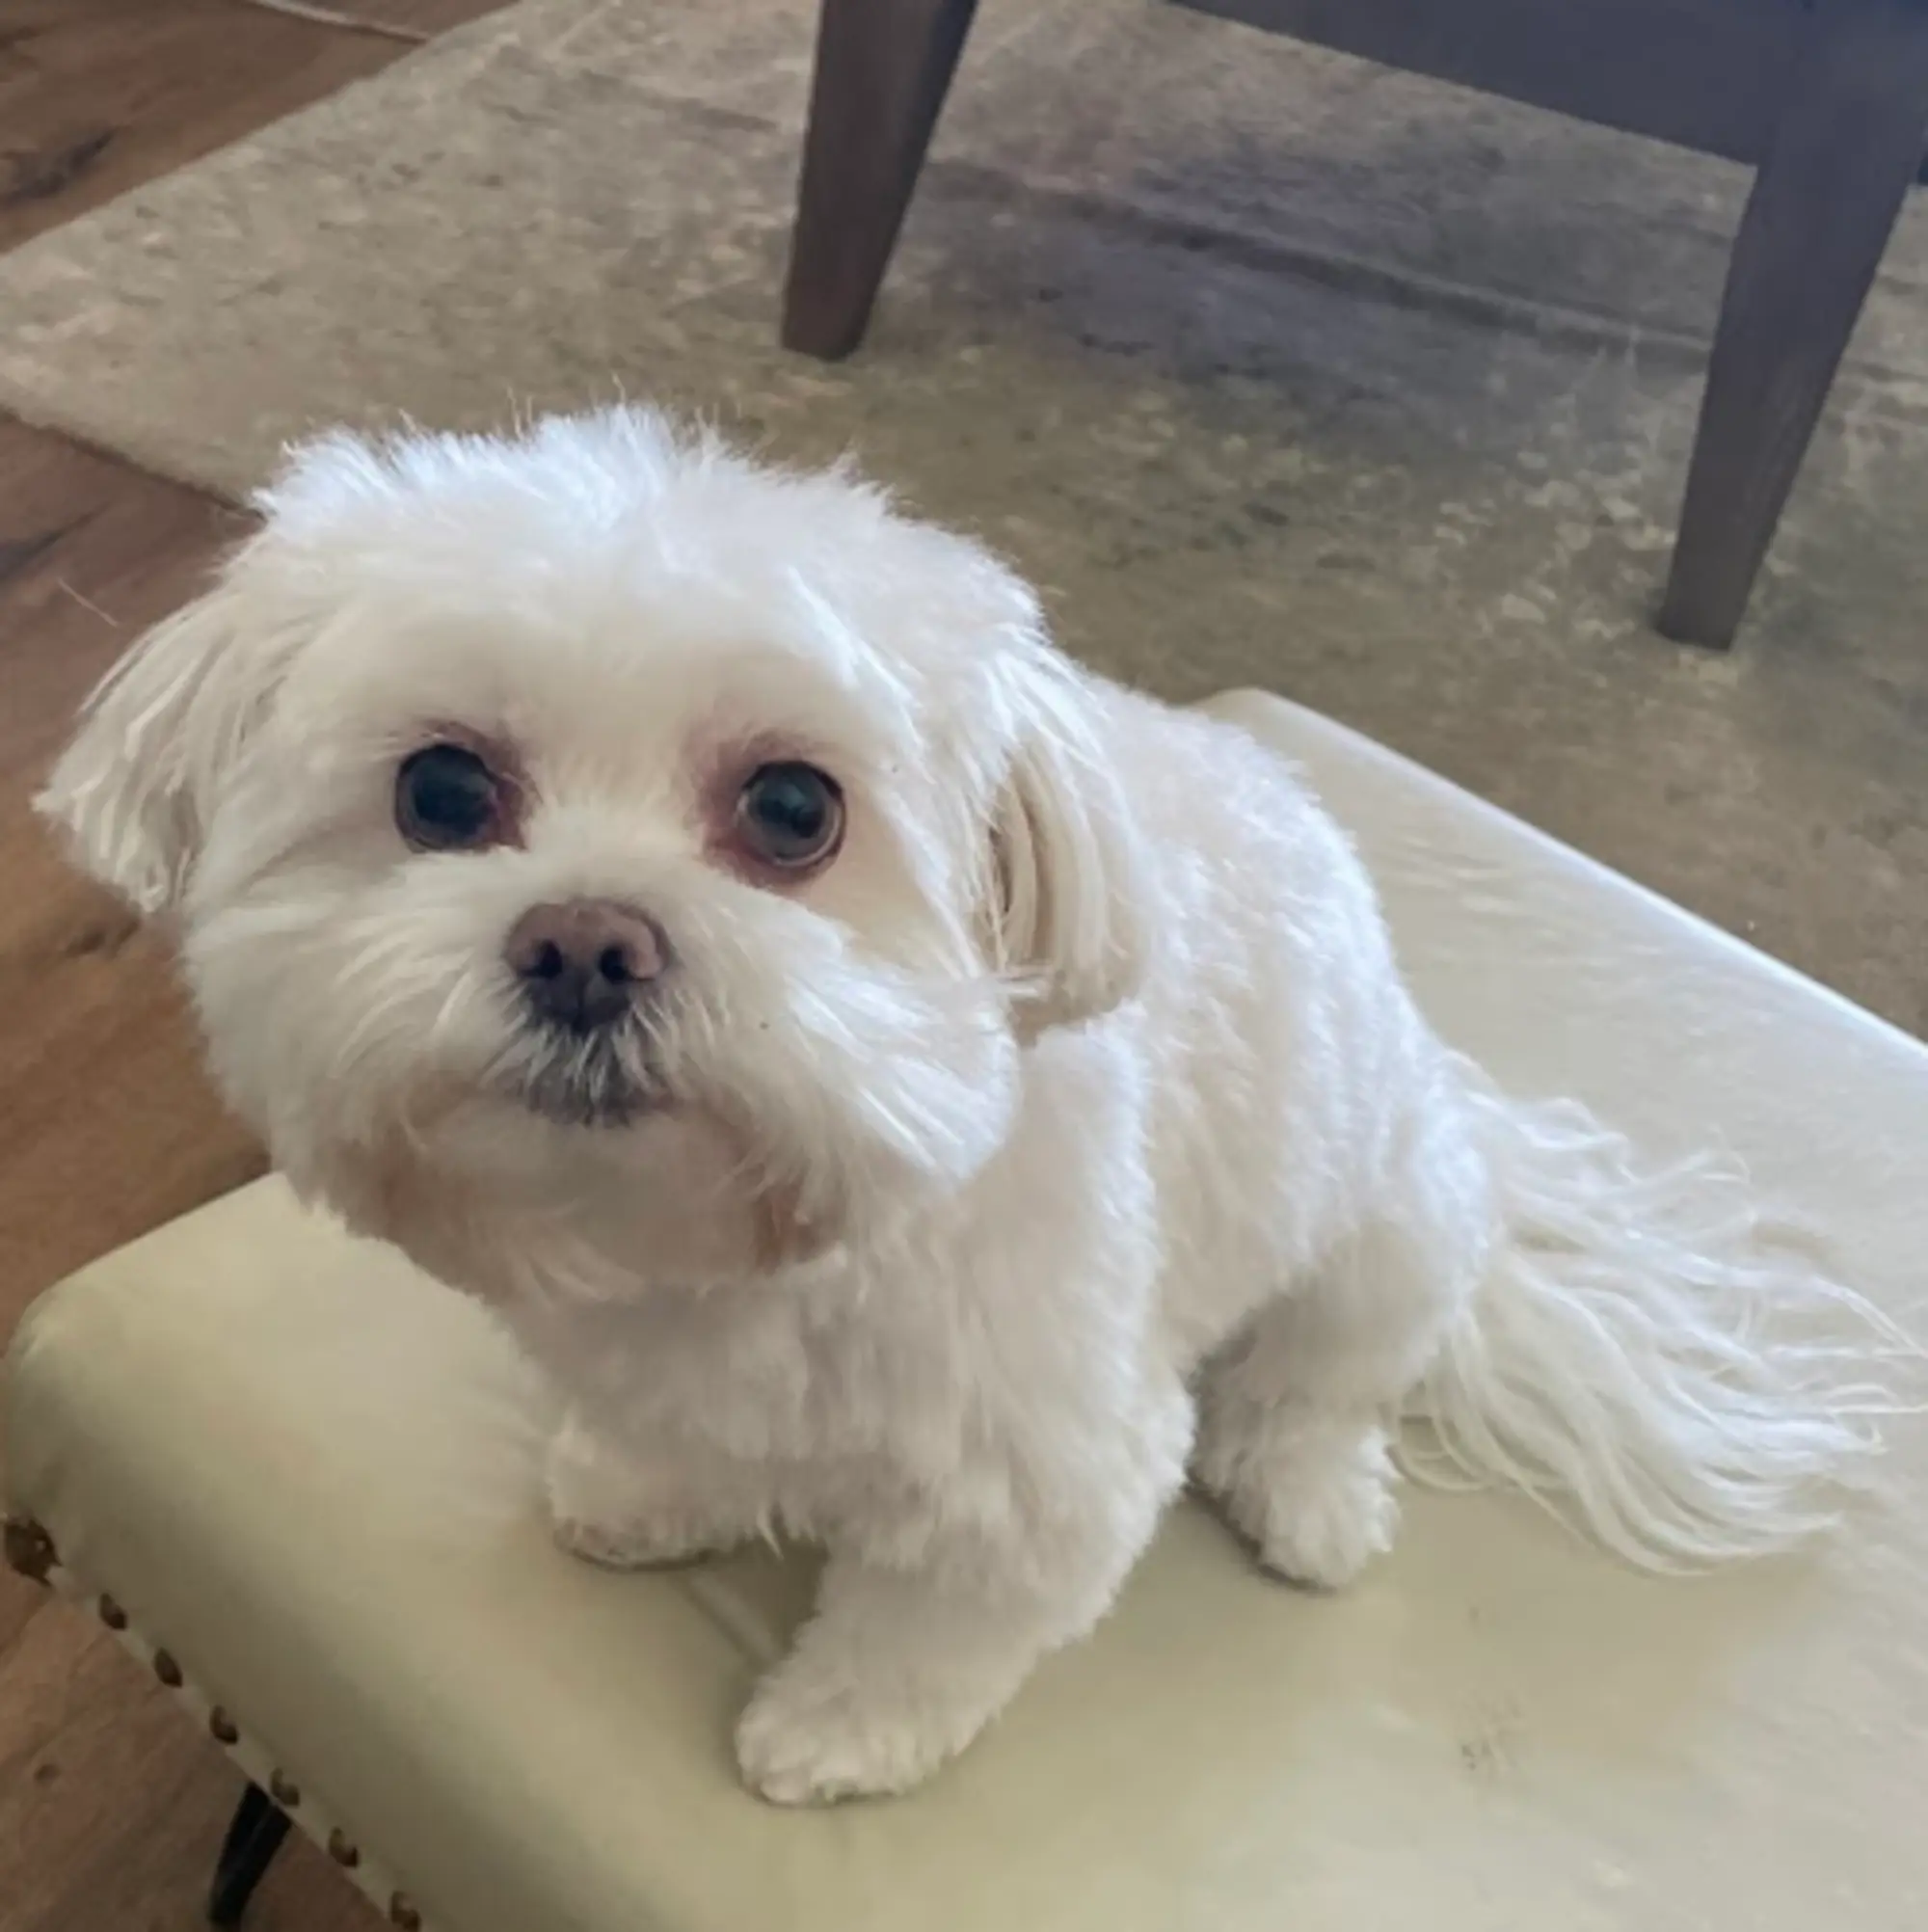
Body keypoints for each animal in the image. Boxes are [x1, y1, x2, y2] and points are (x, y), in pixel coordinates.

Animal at [45, 411, 1900, 1808]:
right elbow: (672, 1435)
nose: (583, 942)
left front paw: (836, 1732)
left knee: (1318, 1385)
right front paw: (648, 1492)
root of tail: (1461, 1111)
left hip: (1378, 1229)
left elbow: (932, 1623)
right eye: (440, 789)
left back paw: (1307, 1496)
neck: (760, 1227)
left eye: (795, 809)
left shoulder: (1043, 1465)